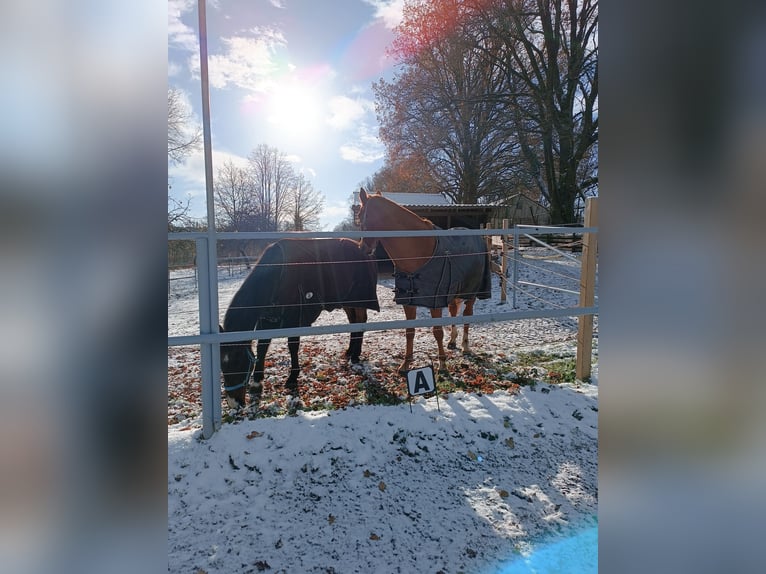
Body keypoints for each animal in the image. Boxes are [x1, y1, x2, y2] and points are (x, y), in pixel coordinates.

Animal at [220, 238, 380, 410]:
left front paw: (292, 377)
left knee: (361, 320)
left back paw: (356, 355)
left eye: (238, 361)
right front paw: (257, 383)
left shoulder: (294, 317)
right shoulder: (268, 319)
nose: (234, 403)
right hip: (347, 301)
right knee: (354, 321)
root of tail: (364, 249)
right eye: (222, 364)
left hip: (359, 299)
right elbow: (262, 347)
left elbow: (292, 346)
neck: (278, 275)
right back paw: (350, 351)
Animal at [358, 190, 492, 374]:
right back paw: (453, 342)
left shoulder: (435, 302)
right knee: (453, 312)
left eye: (360, 215)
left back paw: (465, 347)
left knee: (467, 316)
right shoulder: (408, 301)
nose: (363, 249)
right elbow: (410, 331)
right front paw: (405, 364)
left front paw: (442, 365)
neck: (418, 249)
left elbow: (437, 332)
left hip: (471, 293)